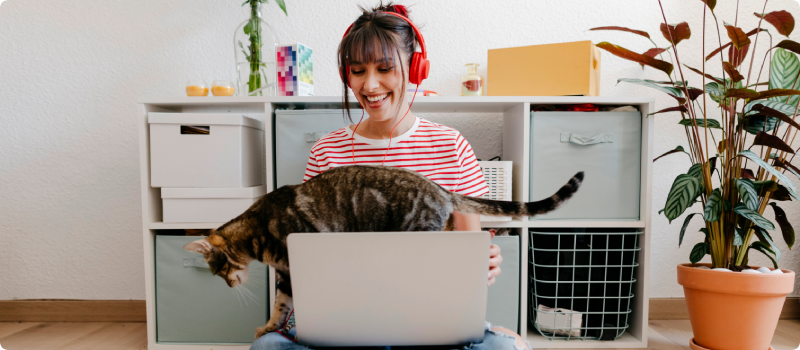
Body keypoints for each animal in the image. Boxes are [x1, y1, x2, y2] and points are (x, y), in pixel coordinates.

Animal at [183, 165, 580, 338]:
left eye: (218, 270)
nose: (229, 285)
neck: (259, 231)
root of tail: (441, 190)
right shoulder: (287, 273)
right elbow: (282, 306)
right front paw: (269, 327)